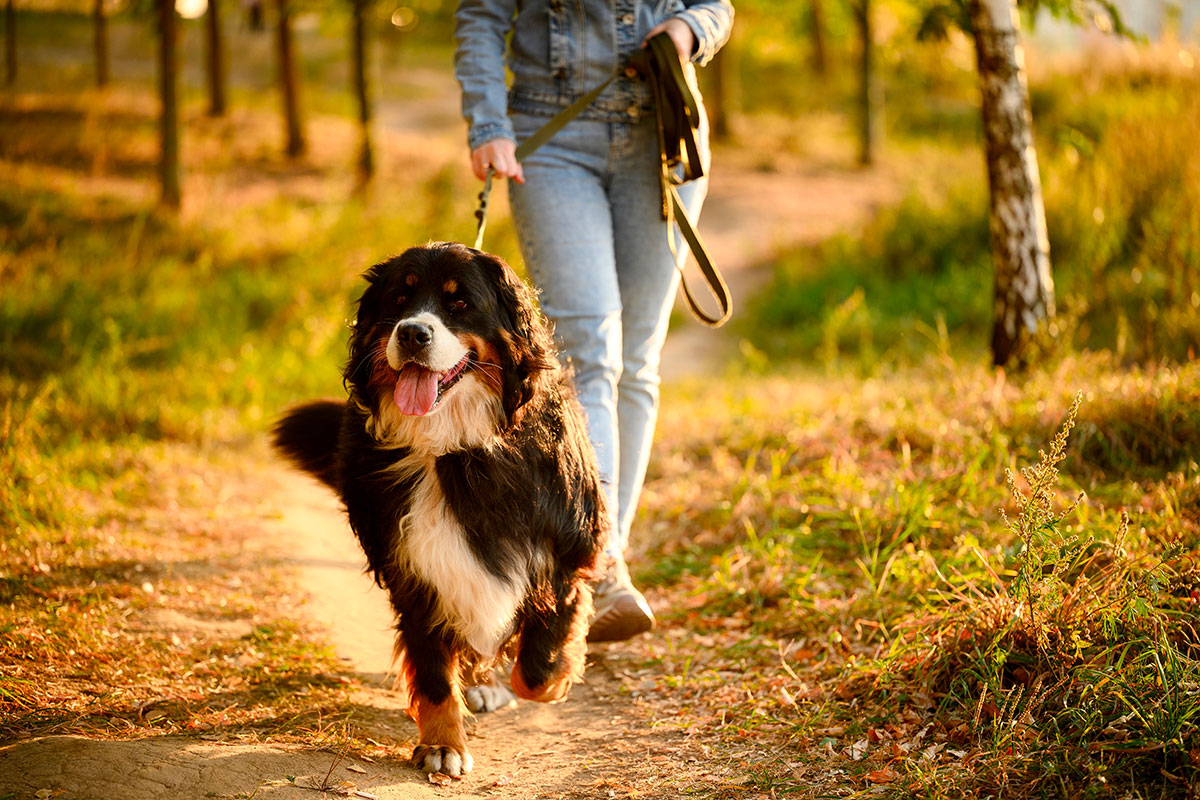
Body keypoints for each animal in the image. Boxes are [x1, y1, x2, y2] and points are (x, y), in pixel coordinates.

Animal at [274, 242, 604, 777]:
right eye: (400, 298)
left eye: (460, 302)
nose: (412, 332)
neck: (450, 446)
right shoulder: (413, 569)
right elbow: (433, 670)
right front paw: (442, 744)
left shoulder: (567, 550)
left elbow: (538, 663)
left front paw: (556, 677)